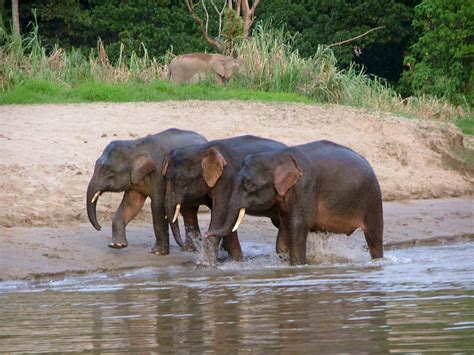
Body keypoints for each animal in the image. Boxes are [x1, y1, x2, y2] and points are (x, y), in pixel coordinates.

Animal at [161, 135, 286, 266]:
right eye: (165, 178)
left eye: (181, 180)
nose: (183, 247)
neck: (203, 149)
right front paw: (236, 261)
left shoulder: (226, 179)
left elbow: (220, 214)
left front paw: (207, 264)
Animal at [207, 140, 386, 266]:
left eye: (250, 185)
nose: (207, 234)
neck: (278, 157)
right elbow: (284, 233)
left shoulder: (304, 188)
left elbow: (297, 226)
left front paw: (297, 265)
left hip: (373, 198)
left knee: (374, 238)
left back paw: (378, 261)